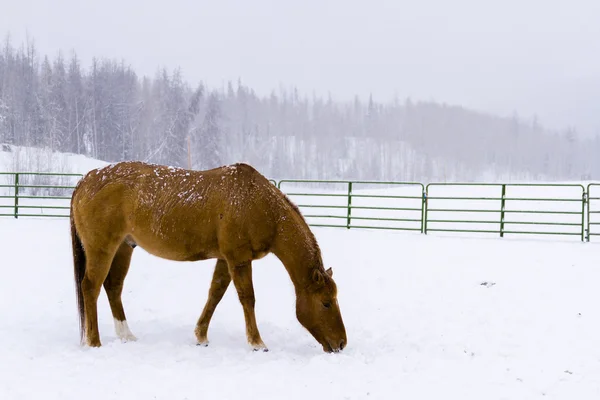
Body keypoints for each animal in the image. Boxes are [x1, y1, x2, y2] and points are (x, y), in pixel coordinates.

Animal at [70, 161, 346, 352]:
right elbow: (248, 299)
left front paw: (201, 336)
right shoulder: (238, 258)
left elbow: (215, 294)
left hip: (124, 247)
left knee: (113, 287)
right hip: (101, 249)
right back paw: (94, 341)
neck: (257, 203)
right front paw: (257, 342)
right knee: (91, 287)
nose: (341, 343)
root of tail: (86, 180)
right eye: (326, 303)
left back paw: (125, 335)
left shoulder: (225, 259)